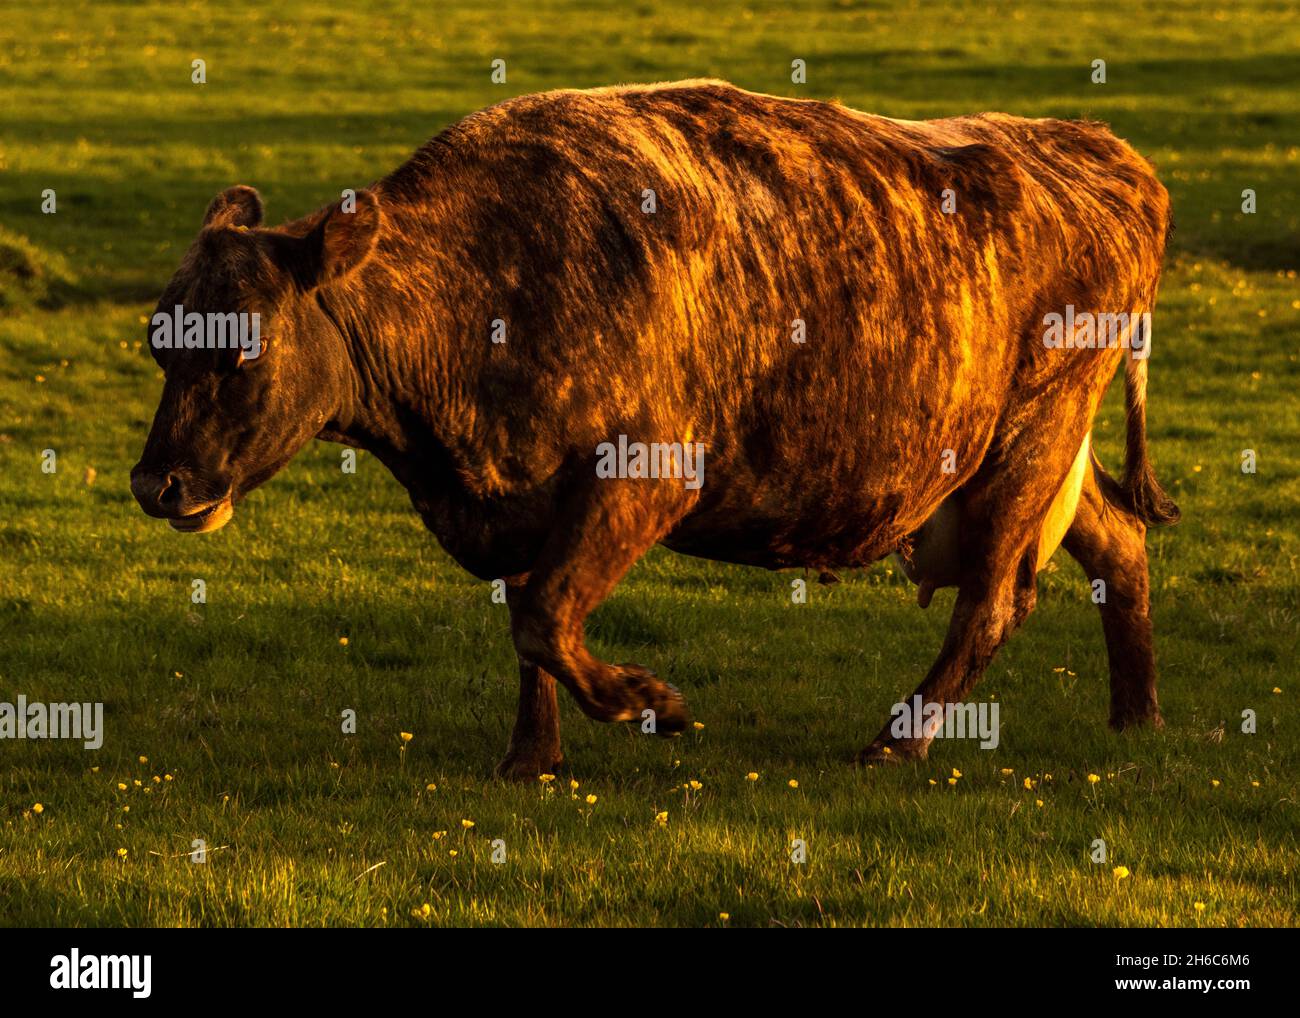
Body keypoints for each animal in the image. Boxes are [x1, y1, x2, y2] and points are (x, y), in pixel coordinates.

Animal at [131, 79, 1180, 780]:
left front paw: (646, 703)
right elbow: (531, 623)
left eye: (241, 353)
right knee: (1118, 544)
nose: (155, 484)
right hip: (1038, 458)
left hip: (1028, 443)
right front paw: (533, 758)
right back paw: (1137, 717)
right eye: (160, 341)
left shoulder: (647, 473)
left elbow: (545, 614)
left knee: (994, 601)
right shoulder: (523, 499)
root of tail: (1097, 148)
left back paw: (897, 740)